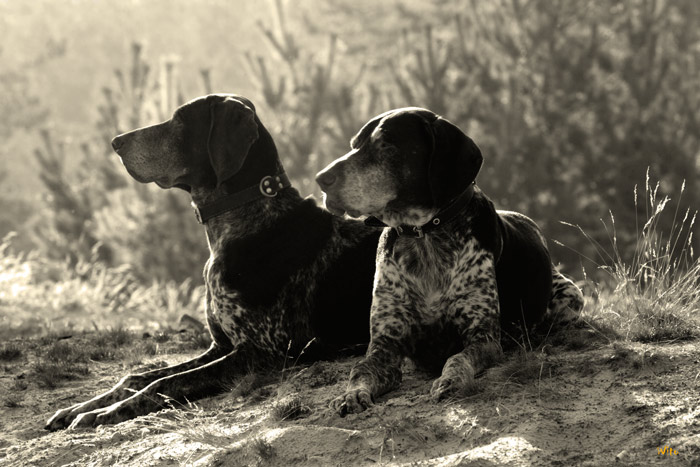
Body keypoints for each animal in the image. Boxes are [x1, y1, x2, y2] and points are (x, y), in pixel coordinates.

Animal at [45, 92, 380, 432]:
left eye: (180, 119)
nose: (116, 142)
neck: (248, 219)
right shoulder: (220, 347)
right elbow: (136, 376)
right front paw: (81, 407)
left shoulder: (263, 353)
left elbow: (163, 383)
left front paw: (105, 413)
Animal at [314, 107, 584, 416]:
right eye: (354, 145)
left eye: (387, 145)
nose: (321, 179)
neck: (424, 235)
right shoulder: (384, 346)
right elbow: (360, 370)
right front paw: (351, 394)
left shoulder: (482, 337)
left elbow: (457, 359)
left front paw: (451, 380)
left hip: (570, 296)